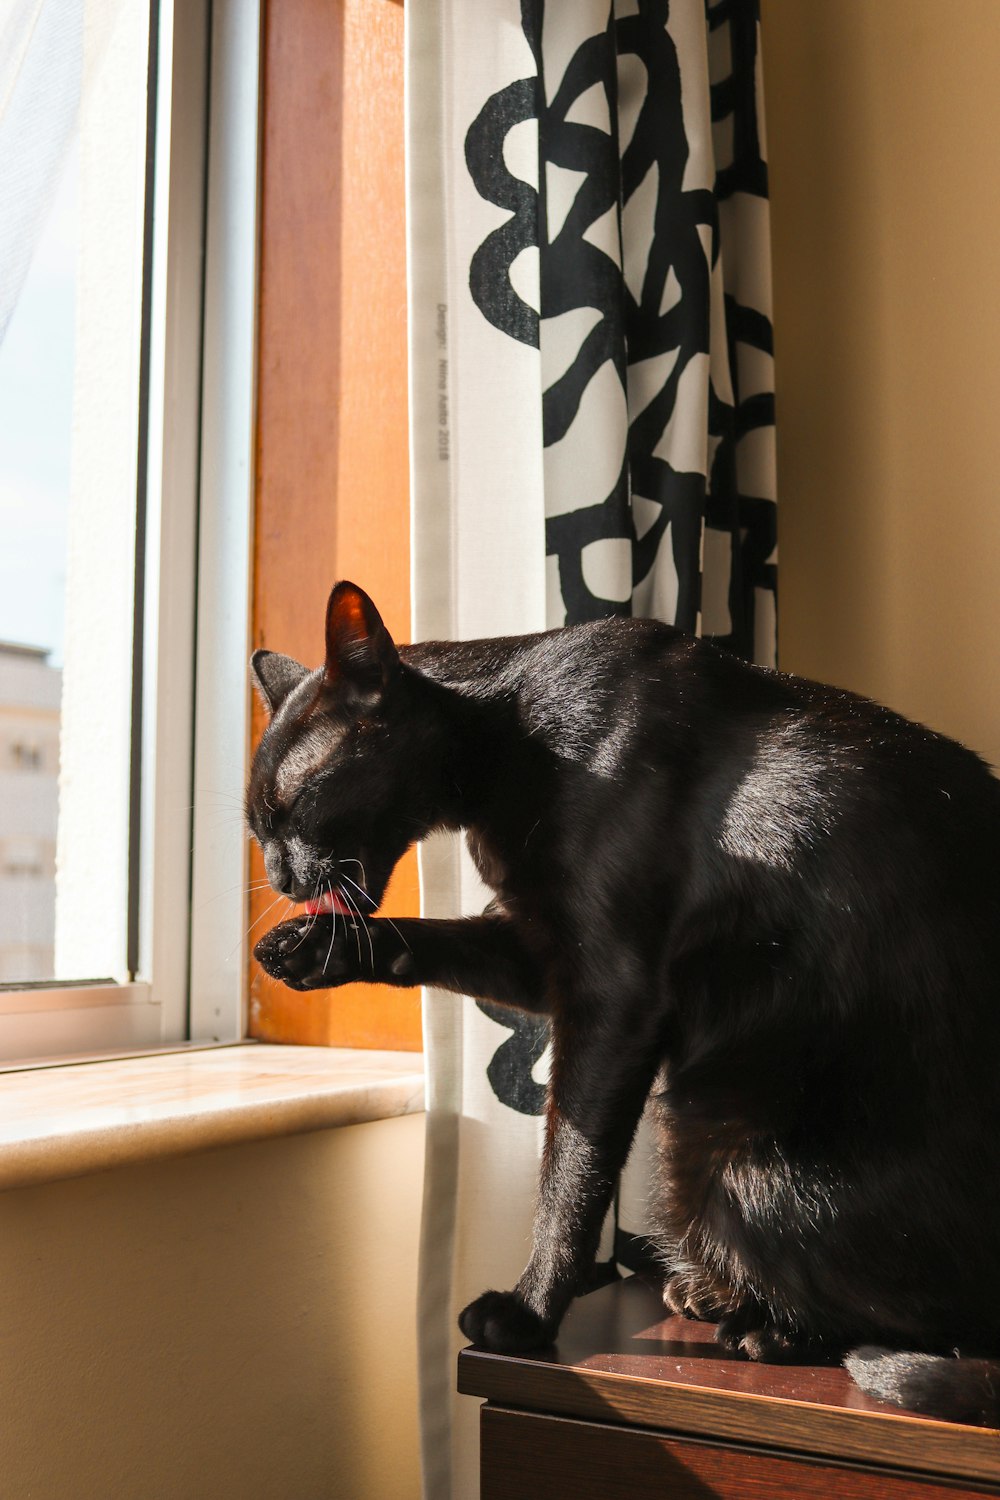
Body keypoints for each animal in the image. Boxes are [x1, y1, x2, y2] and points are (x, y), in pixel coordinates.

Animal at [245, 579, 1000, 1422]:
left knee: (916, 1323)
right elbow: (423, 938)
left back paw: (761, 1328)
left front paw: (529, 1312)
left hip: (727, 1159)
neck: (509, 736)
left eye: (290, 804)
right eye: (256, 823)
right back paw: (711, 1296)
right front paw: (312, 948)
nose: (278, 876)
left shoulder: (612, 995)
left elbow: (570, 1176)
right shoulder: (539, 952)